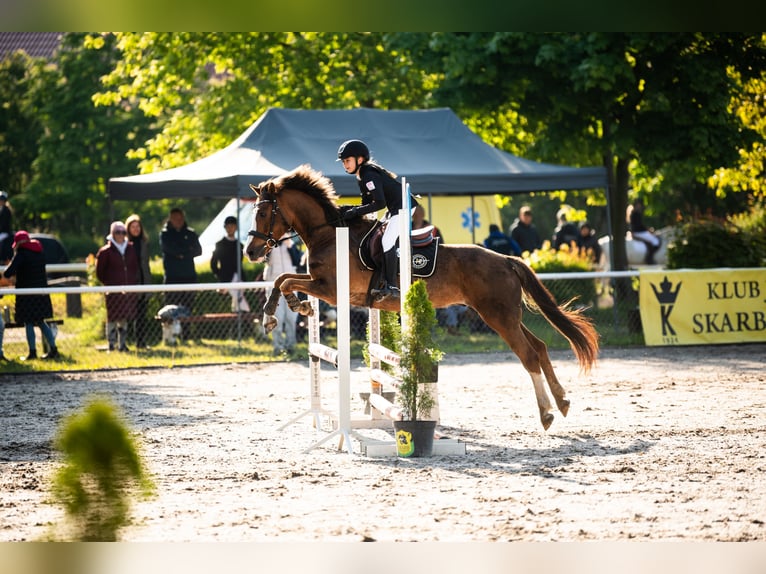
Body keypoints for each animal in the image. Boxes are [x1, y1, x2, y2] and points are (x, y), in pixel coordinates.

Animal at [244, 165, 599, 431]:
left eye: (263, 214)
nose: (250, 252)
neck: (327, 233)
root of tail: (506, 260)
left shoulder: (330, 288)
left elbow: (285, 280)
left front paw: (280, 312)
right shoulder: (321, 284)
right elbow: (282, 280)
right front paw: (290, 309)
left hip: (498, 317)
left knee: (528, 355)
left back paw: (547, 413)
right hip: (504, 316)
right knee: (539, 348)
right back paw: (563, 402)